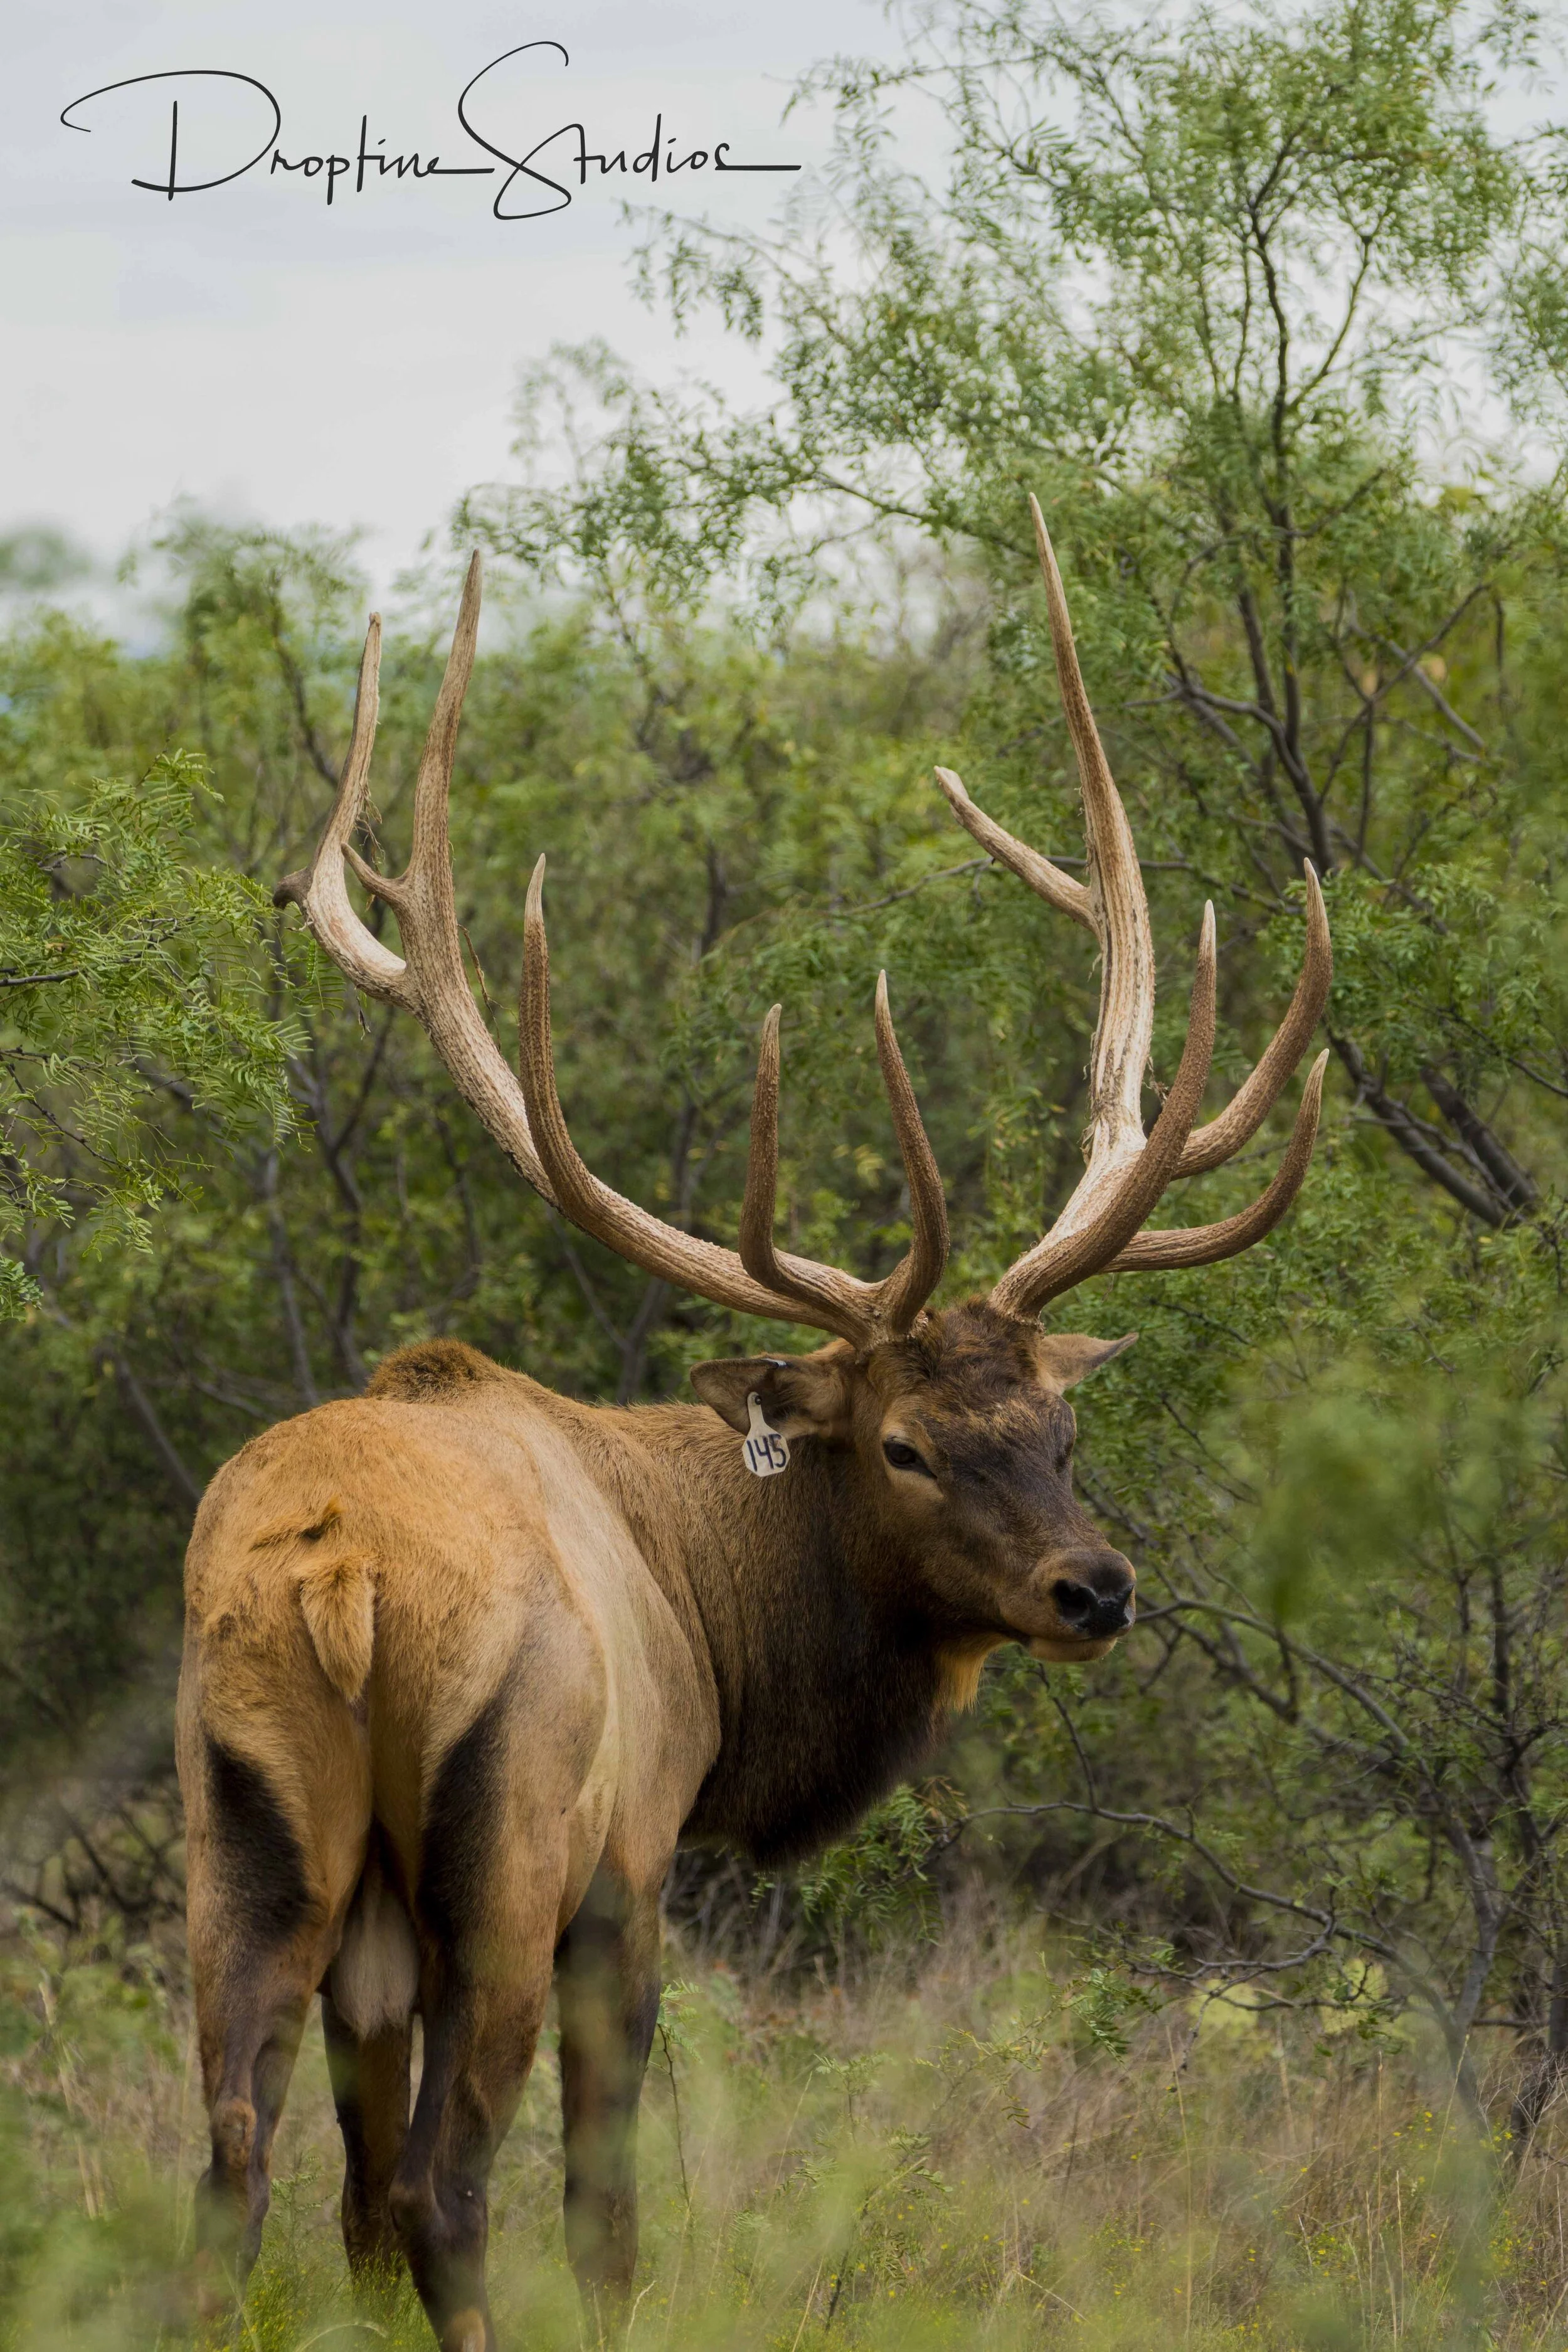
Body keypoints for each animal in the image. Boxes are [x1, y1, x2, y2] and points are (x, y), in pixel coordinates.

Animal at [177, 496, 1330, 2349]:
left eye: (1060, 1430)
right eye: (905, 1444)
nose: (1095, 1586)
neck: (709, 1606)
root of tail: (340, 1577)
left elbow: (340, 2211)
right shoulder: (636, 1856)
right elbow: (606, 2207)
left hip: (249, 1837)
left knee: (236, 2164)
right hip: (508, 1852)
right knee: (449, 2181)